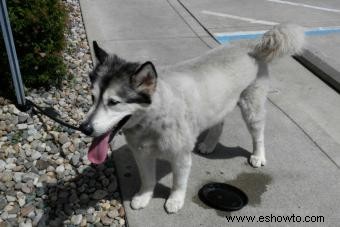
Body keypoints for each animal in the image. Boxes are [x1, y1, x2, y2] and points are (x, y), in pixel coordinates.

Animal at [81, 24, 304, 214]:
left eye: (113, 102)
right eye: (92, 97)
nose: (84, 128)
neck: (155, 117)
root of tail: (250, 45)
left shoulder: (180, 156)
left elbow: (178, 182)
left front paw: (175, 200)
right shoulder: (141, 154)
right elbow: (147, 179)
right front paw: (144, 196)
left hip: (252, 109)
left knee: (258, 134)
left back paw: (258, 155)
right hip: (217, 105)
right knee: (219, 123)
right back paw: (209, 144)